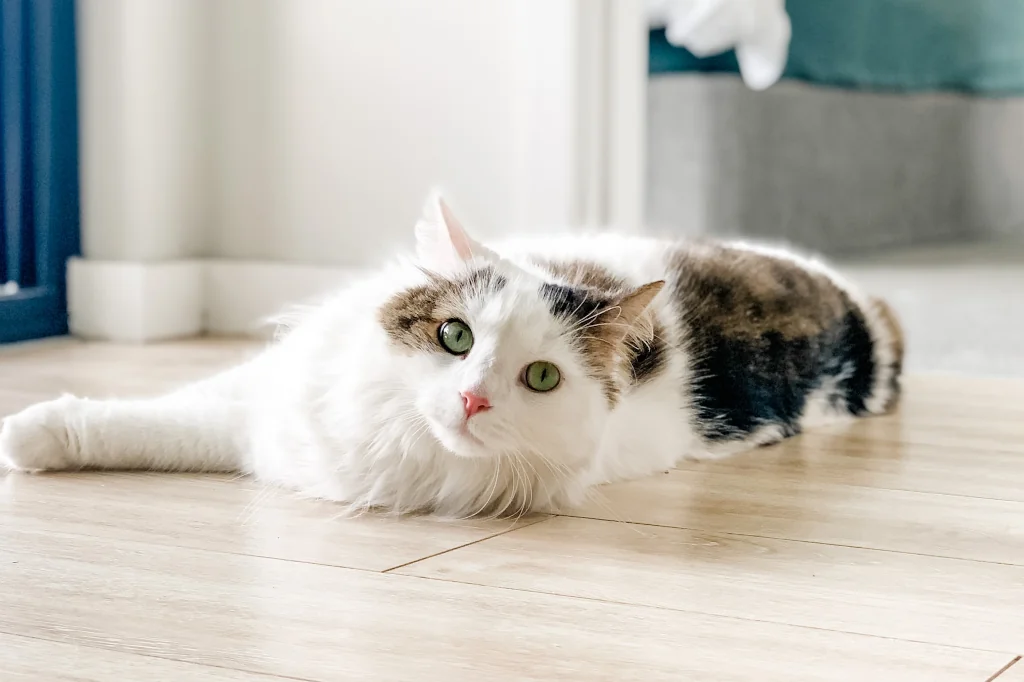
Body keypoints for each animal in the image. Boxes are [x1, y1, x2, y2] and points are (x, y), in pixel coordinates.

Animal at [0, 191, 901, 516]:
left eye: (541, 378)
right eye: (455, 337)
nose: (472, 400)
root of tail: (859, 308)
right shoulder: (273, 403)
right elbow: (153, 418)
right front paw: (35, 432)